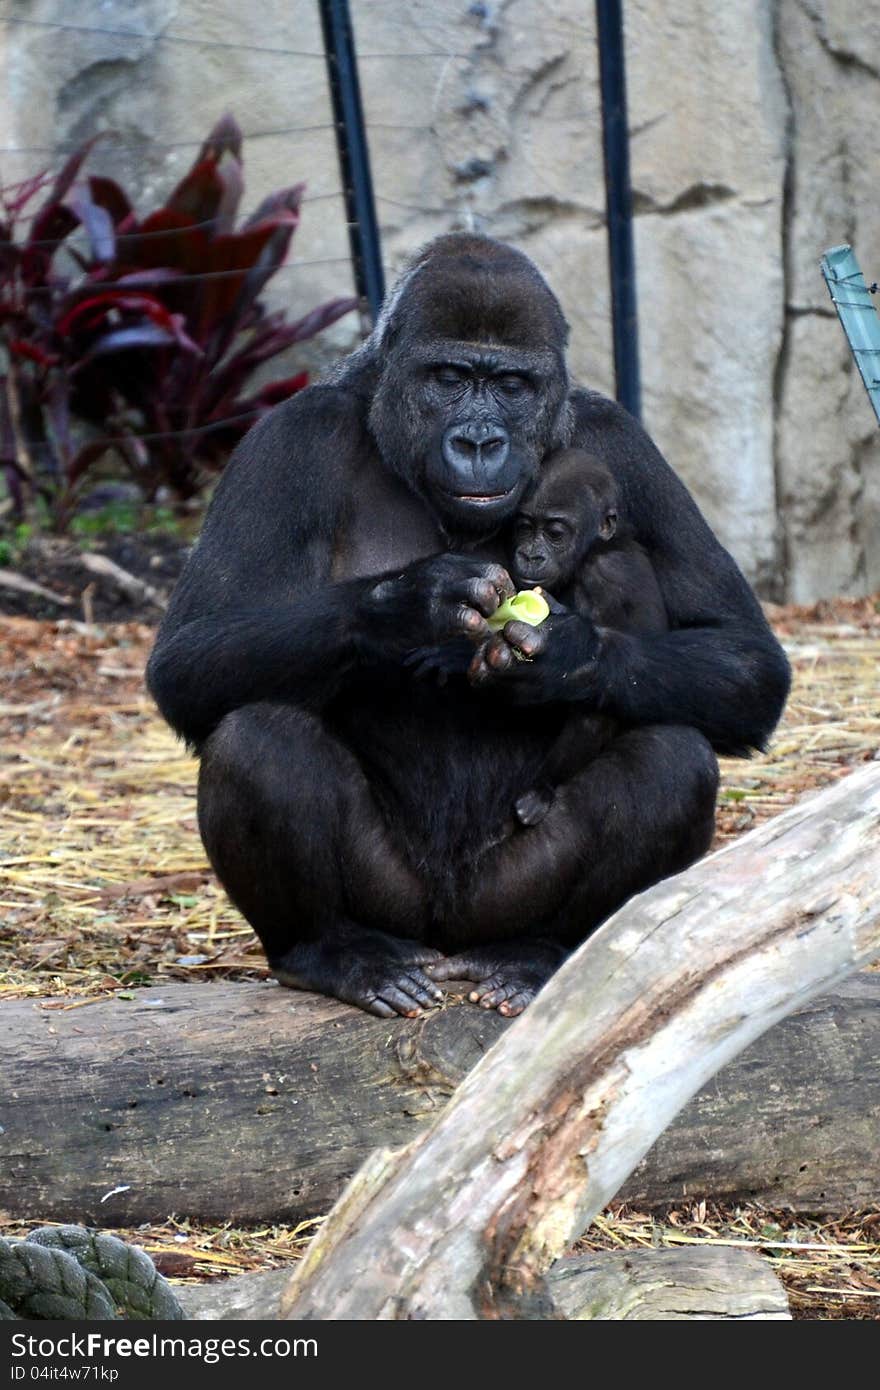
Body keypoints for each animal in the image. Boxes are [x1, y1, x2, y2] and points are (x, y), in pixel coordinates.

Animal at [508, 447, 664, 822]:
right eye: (525, 528)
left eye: (554, 533)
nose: (530, 554)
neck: (596, 548)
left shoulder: (606, 576)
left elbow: (596, 680)